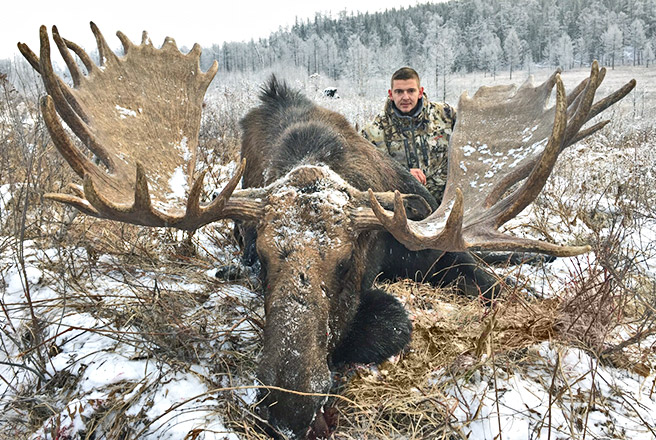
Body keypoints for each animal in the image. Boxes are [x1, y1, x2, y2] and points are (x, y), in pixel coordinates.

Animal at [21, 24, 636, 440]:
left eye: (345, 261)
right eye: (265, 259)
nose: (288, 407)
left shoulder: (425, 238)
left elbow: (499, 287)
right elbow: (394, 319)